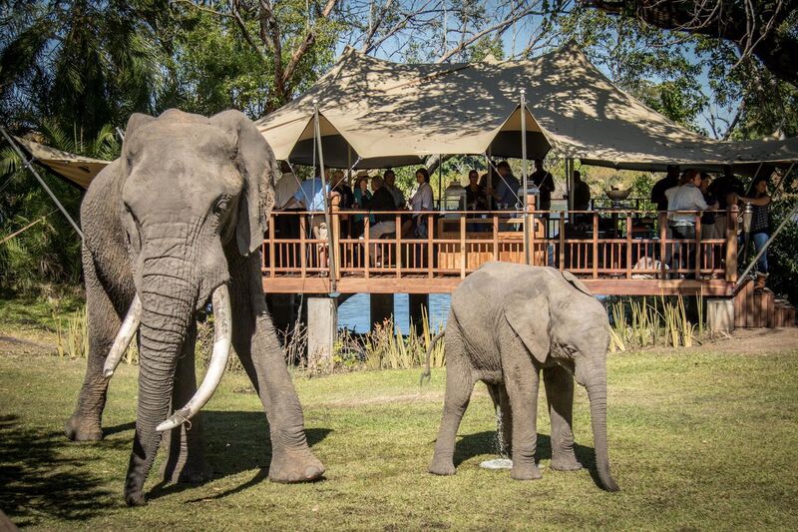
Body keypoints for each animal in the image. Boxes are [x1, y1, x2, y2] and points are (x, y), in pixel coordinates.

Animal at [64, 109, 324, 506]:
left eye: (220, 206)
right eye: (129, 212)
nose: (137, 499)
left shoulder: (245, 223)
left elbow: (248, 320)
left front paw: (301, 474)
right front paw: (186, 475)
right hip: (89, 246)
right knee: (108, 335)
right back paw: (86, 437)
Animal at [422, 262, 619, 491]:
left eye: (607, 346)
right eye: (571, 349)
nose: (615, 488)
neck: (556, 292)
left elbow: (561, 389)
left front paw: (567, 469)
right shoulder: (512, 330)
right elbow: (526, 385)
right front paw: (527, 477)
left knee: (504, 397)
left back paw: (507, 457)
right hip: (457, 332)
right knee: (459, 396)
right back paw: (443, 471)